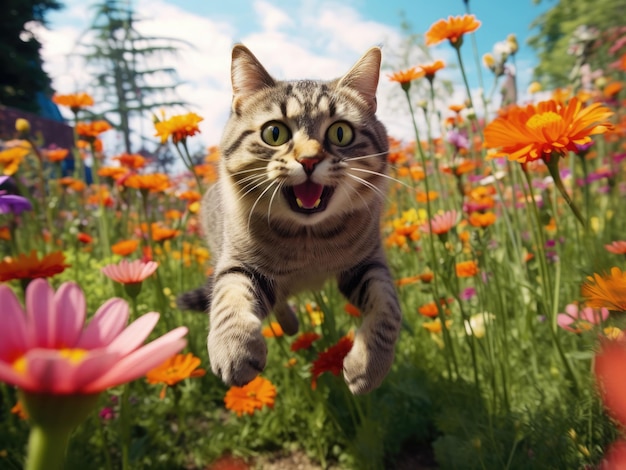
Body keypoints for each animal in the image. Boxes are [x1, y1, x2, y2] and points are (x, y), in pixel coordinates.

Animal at [177, 46, 400, 394]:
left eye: (340, 132)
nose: (309, 159)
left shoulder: (367, 263)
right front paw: (233, 348)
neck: (308, 242)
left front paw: (368, 364)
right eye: (274, 132)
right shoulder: (238, 261)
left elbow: (388, 308)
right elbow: (229, 296)